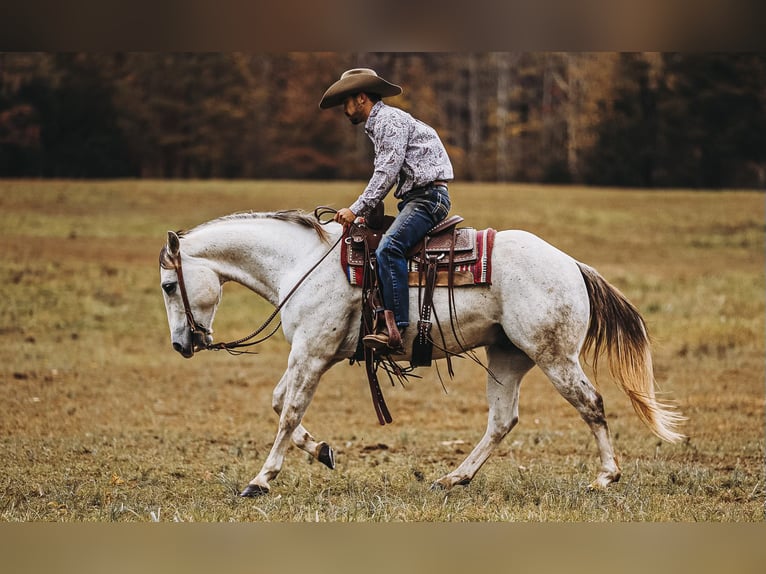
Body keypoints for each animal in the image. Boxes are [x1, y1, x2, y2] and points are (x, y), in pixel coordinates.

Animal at [159, 209, 688, 498]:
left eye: (168, 285)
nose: (182, 345)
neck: (301, 264)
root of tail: (572, 265)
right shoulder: (307, 353)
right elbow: (278, 403)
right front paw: (324, 451)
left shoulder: (312, 352)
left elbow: (288, 411)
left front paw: (261, 480)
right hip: (507, 357)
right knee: (503, 420)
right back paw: (453, 478)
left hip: (554, 356)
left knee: (591, 404)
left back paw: (605, 477)